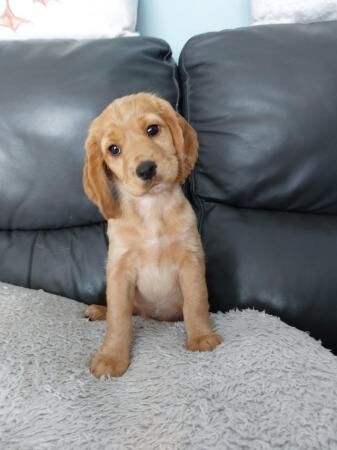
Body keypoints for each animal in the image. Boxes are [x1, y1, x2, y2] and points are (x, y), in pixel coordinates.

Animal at [82, 93, 222, 378]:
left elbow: (196, 302)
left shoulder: (190, 260)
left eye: (152, 130)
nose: (146, 169)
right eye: (114, 149)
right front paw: (112, 357)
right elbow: (119, 319)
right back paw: (99, 310)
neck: (152, 208)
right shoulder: (120, 270)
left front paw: (201, 337)